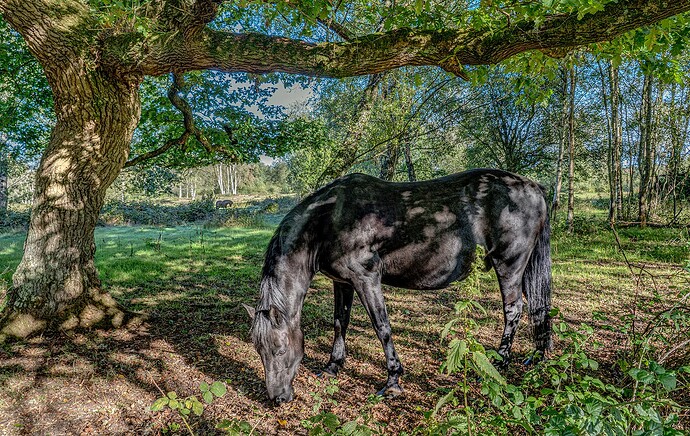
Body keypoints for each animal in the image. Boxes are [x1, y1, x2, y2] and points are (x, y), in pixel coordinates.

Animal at [244, 168, 552, 404]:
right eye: (259, 350)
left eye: (280, 350)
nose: (278, 398)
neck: (329, 219)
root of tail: (533, 187)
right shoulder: (342, 283)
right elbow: (340, 323)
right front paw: (332, 366)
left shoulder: (366, 279)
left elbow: (382, 327)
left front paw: (392, 381)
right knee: (538, 308)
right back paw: (538, 355)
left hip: (509, 265)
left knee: (513, 310)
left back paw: (499, 363)